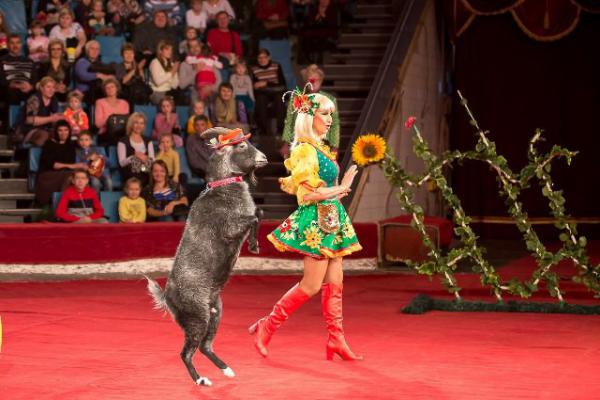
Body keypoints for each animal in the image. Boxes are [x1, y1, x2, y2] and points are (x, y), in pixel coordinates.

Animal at [145, 126, 268, 386]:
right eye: (241, 145)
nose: (264, 158)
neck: (223, 187)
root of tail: (167, 298)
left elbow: (259, 212)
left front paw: (255, 244)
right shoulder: (230, 228)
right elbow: (256, 216)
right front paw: (254, 246)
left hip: (215, 313)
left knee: (204, 347)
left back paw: (227, 370)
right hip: (197, 318)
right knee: (186, 352)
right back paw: (201, 380)